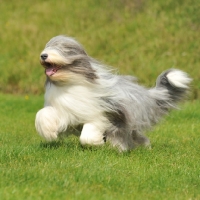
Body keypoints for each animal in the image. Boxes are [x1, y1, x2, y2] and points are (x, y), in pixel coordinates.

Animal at [35, 35, 191, 152]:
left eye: (62, 48)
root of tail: (147, 94)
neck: (70, 82)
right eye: (48, 46)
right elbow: (43, 114)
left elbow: (88, 134)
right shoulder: (65, 110)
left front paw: (96, 142)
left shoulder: (101, 113)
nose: (43, 55)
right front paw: (49, 133)